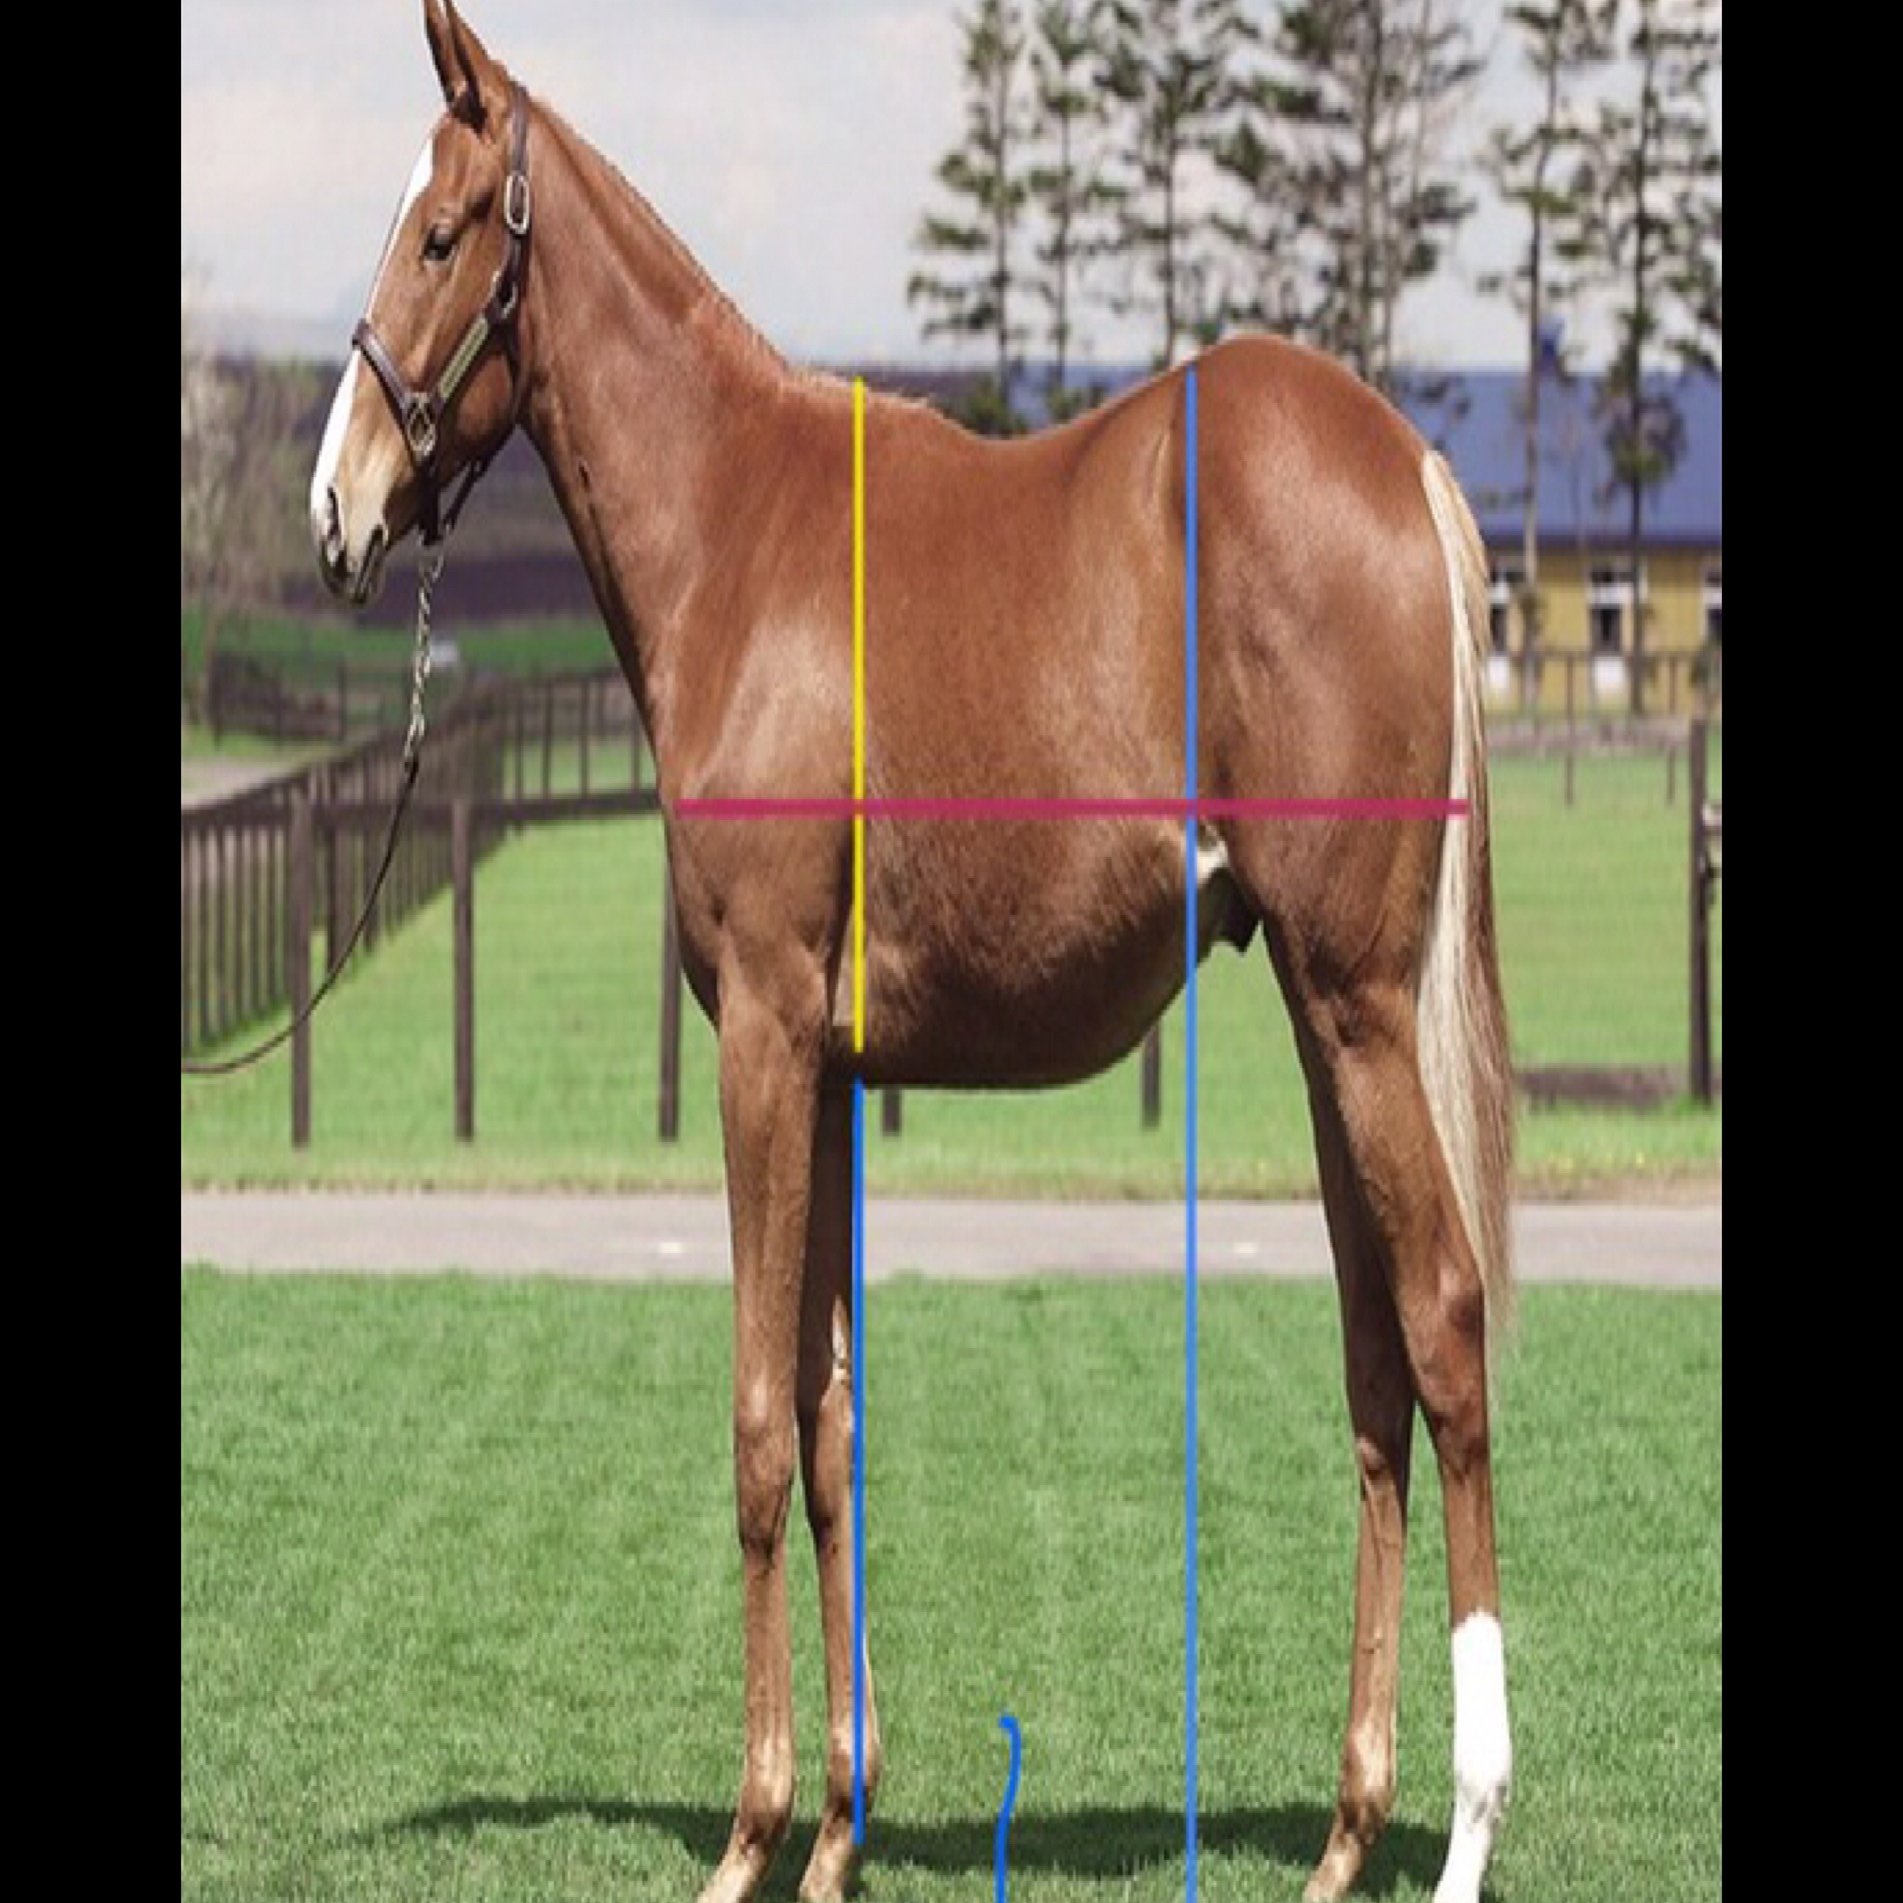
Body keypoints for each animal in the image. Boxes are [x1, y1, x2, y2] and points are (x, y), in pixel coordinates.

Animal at [310, 7, 1517, 1902]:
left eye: (436, 238)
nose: (335, 509)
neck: (738, 534)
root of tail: (1401, 460)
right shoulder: (818, 1065)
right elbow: (829, 1428)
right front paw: (833, 1829)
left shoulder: (755, 1041)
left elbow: (751, 1422)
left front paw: (746, 1835)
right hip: (1331, 1026)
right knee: (1376, 1369)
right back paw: (1342, 1831)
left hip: (1365, 1010)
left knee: (1448, 1333)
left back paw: (1462, 1828)